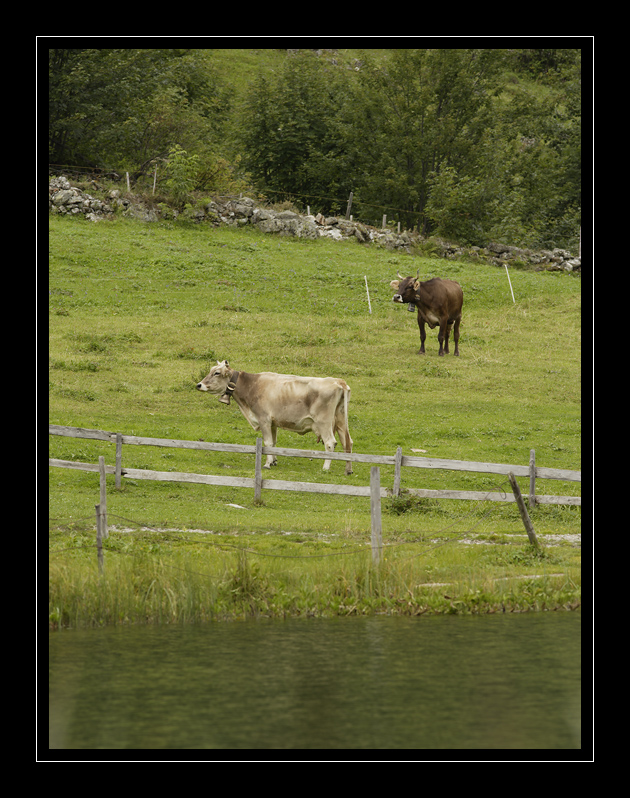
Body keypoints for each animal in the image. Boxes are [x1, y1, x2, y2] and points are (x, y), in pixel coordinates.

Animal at [196, 361, 353, 474]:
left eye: (216, 372)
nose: (199, 385)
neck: (252, 386)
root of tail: (338, 381)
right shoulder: (273, 422)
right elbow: (273, 442)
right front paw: (273, 461)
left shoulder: (264, 419)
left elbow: (268, 442)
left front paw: (267, 464)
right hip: (340, 420)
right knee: (347, 442)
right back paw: (348, 469)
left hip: (324, 422)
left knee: (330, 443)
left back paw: (325, 468)